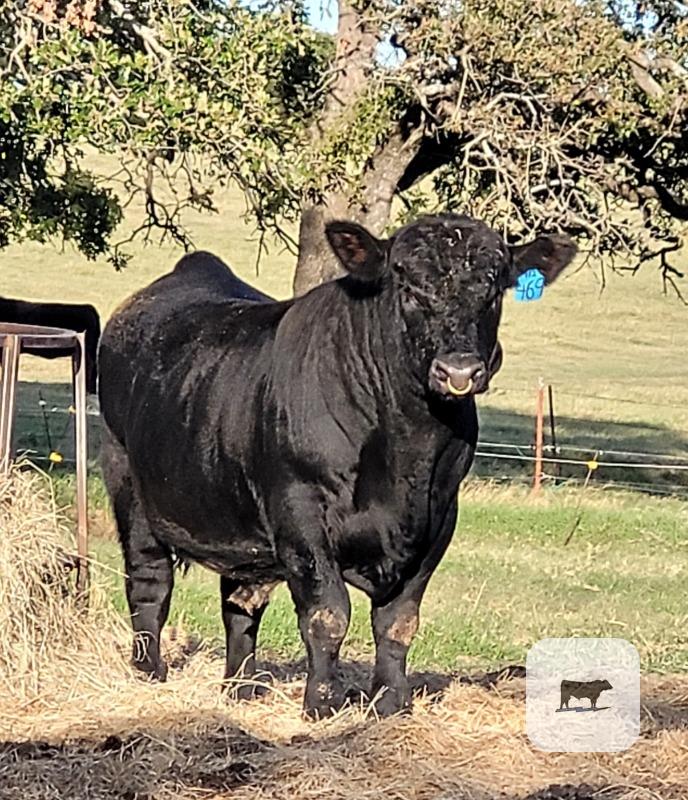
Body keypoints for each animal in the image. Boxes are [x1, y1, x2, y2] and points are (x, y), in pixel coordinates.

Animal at [98, 213, 577, 719]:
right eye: (407, 284)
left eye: (494, 288)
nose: (460, 371)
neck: (406, 453)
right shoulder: (300, 509)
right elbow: (328, 612)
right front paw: (323, 703)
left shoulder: (440, 517)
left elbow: (398, 621)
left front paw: (390, 703)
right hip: (127, 482)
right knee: (149, 584)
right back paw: (148, 673)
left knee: (241, 603)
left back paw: (240, 688)